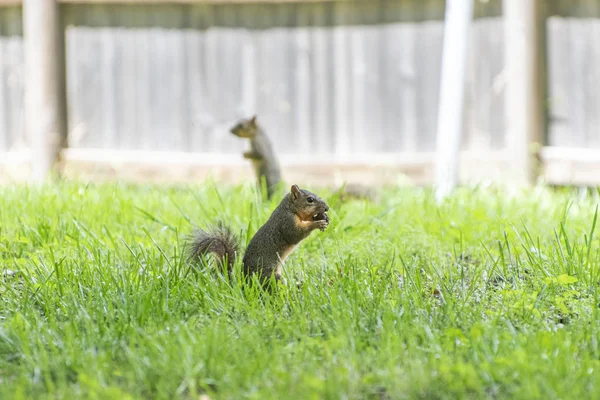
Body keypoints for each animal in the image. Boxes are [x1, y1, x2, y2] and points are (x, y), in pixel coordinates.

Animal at [186, 185, 328, 282]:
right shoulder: (286, 222)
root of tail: (245, 281)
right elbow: (295, 235)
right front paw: (317, 223)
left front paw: (322, 217)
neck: (289, 209)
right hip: (268, 274)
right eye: (310, 200)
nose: (327, 208)